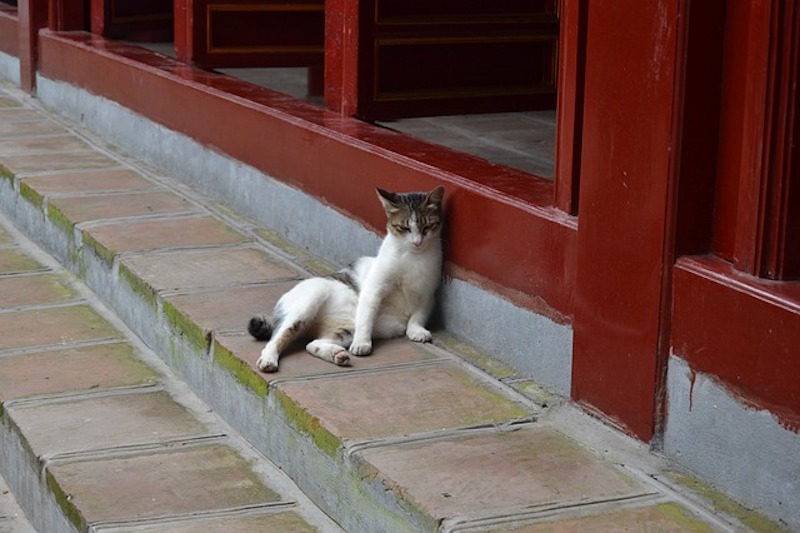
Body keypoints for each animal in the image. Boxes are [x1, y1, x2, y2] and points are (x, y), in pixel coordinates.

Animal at [250, 185, 444, 372]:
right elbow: (366, 317)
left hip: (346, 329)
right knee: (277, 338)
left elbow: (419, 314)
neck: (412, 257)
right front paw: (362, 343)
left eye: (427, 227)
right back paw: (268, 360)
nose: (417, 242)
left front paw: (416, 330)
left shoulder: (428, 294)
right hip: (309, 301)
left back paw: (336, 355)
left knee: (312, 344)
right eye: (405, 228)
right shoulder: (374, 288)